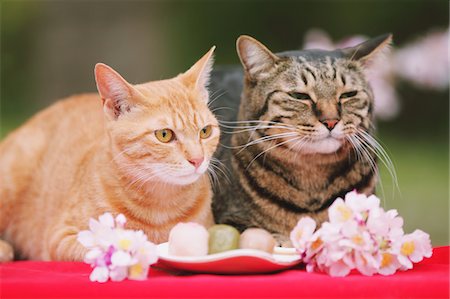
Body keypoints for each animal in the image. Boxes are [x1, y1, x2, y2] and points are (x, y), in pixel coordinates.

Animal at [0, 47, 218, 262]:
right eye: (164, 135)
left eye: (205, 131)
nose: (198, 159)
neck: (161, 205)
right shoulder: (61, 238)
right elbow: (107, 246)